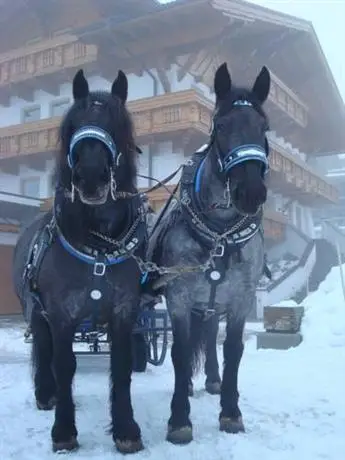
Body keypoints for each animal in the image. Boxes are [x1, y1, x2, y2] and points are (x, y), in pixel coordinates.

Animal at [12, 68, 146, 452]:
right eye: (72, 124)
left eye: (118, 123)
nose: (90, 177)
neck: (96, 245)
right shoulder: (60, 314)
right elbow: (64, 364)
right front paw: (64, 430)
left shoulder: (124, 312)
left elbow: (121, 365)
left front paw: (126, 428)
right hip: (35, 311)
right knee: (44, 350)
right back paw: (46, 393)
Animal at [147, 63, 268, 444]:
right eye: (221, 126)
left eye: (264, 127)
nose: (251, 192)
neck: (219, 234)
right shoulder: (179, 297)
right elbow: (181, 351)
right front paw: (179, 419)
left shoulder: (242, 298)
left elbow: (233, 350)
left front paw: (230, 412)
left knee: (213, 331)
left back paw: (213, 380)